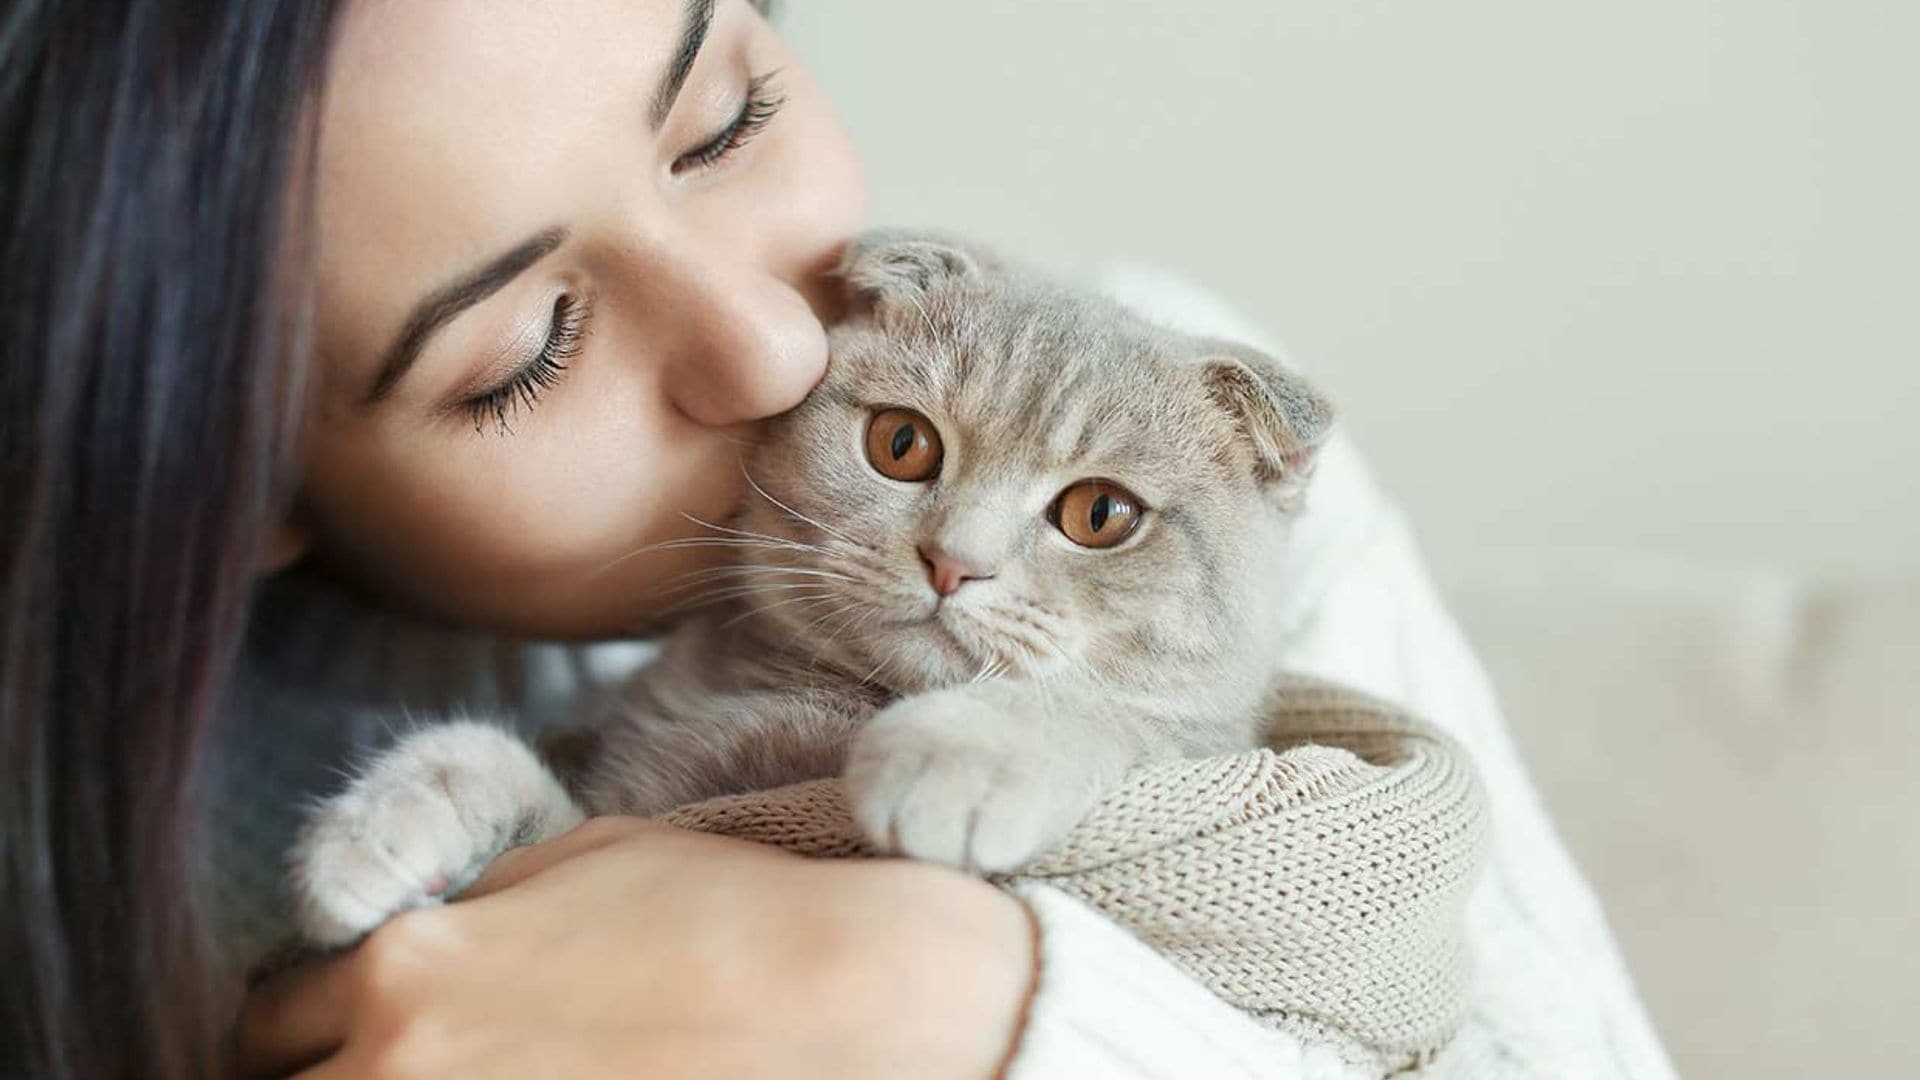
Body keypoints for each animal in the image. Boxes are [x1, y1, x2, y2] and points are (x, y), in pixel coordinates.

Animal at [288, 231, 1336, 945]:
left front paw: (958, 756)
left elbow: (1096, 714)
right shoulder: (616, 809)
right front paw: (378, 834)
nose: (953, 560)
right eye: (902, 443)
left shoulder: (1192, 746)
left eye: (1101, 515)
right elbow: (480, 759)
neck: (816, 704)